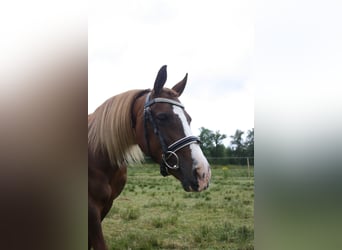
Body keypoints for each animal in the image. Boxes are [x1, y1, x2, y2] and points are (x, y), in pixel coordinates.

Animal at [87, 65, 211, 249]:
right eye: (162, 117)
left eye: (188, 118)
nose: (203, 173)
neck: (97, 155)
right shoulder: (91, 210)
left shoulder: (105, 206)